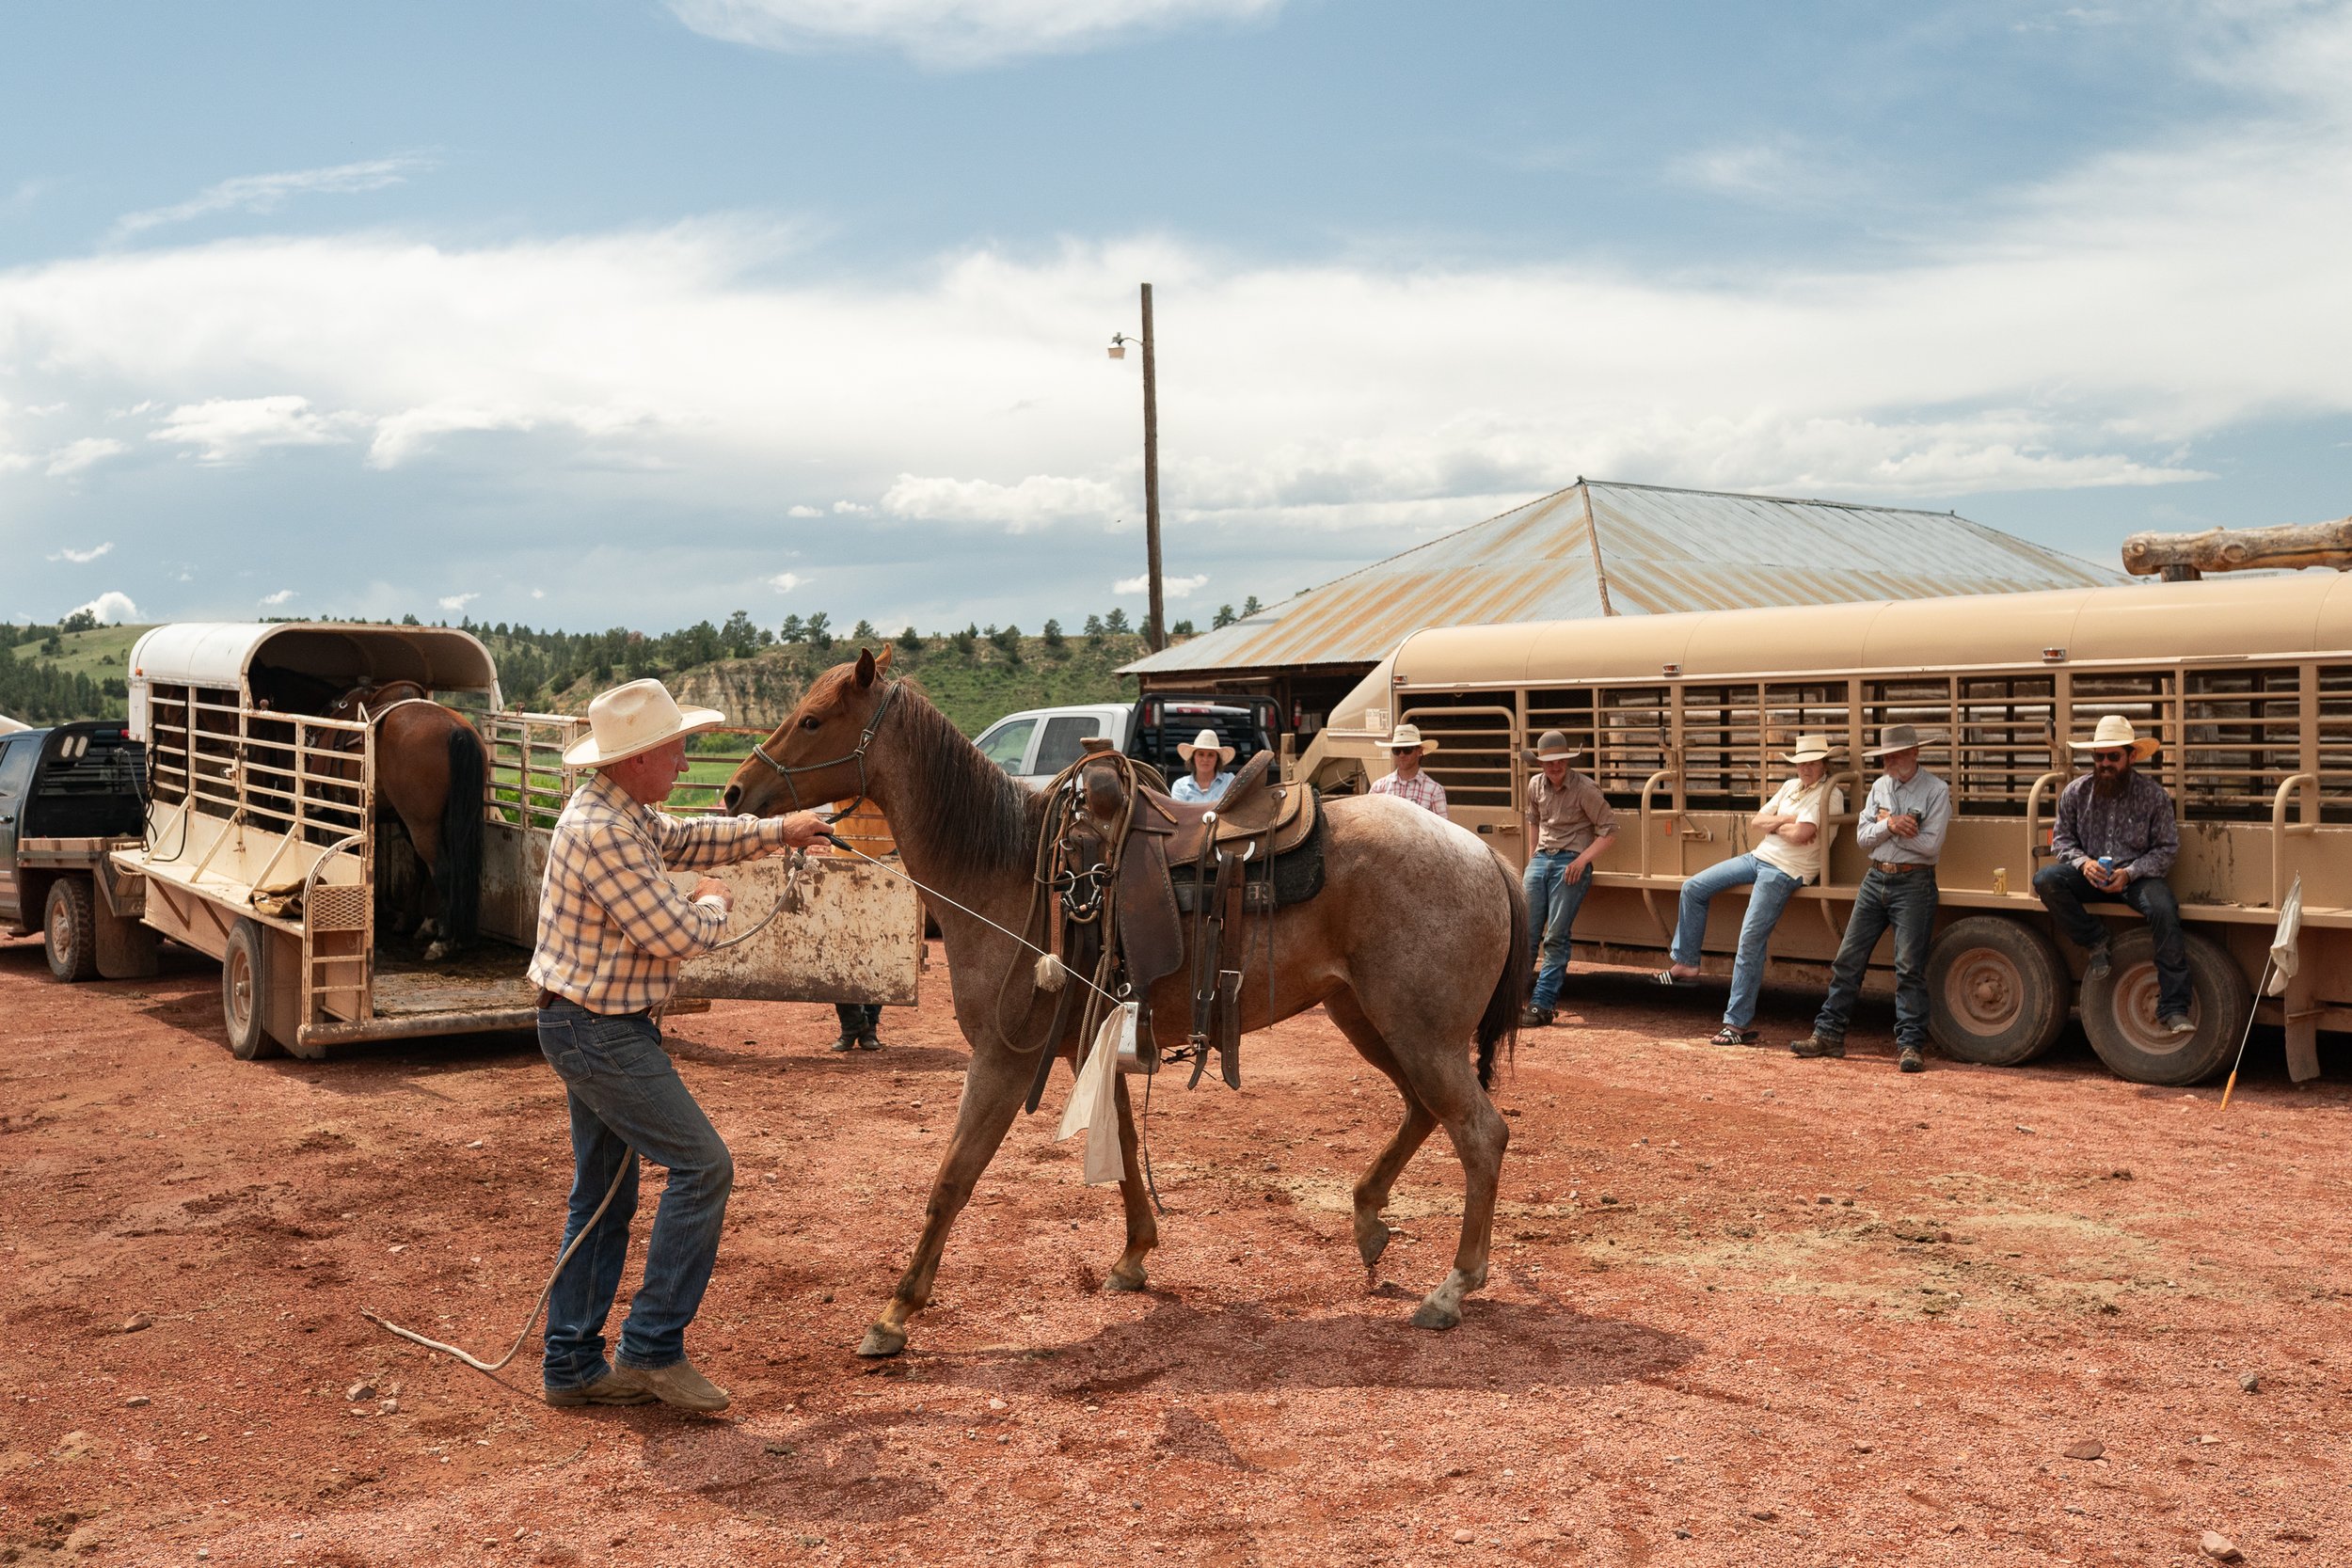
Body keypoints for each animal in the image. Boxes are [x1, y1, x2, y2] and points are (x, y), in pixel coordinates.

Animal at [722, 646, 1530, 1357]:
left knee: (1480, 1133)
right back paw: (1367, 1221)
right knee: (1427, 1111)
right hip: (1371, 1020)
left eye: (813, 719)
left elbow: (952, 1177)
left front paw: (895, 1311)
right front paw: (1135, 1253)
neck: (1011, 868)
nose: (733, 793)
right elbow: (1122, 1142)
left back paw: (1453, 1287)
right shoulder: (1094, 1041)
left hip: (1417, 1032)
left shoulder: (1004, 1058)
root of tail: (1483, 853)